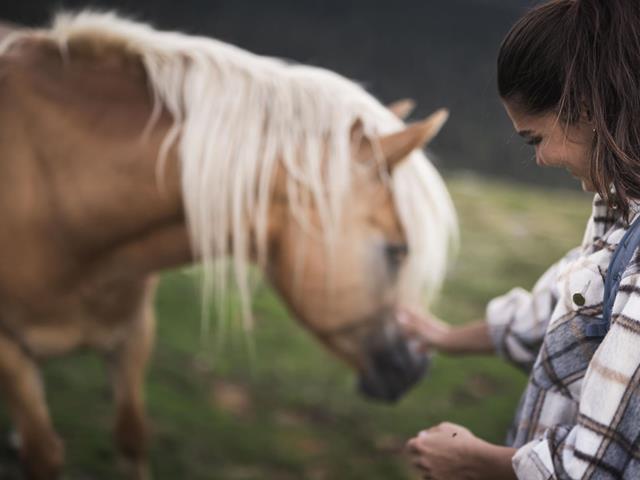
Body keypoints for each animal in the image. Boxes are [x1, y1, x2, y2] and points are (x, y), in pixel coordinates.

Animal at [0, 12, 458, 480]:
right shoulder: (10, 352)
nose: (418, 367)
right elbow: (45, 454)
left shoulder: (133, 334)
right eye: (397, 250)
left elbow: (131, 437)